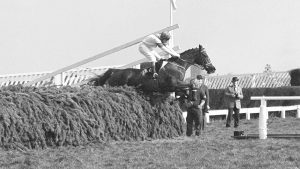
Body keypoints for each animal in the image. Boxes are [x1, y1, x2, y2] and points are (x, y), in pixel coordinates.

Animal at [88, 44, 217, 93]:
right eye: (205, 55)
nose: (213, 68)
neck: (176, 66)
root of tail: (114, 71)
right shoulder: (172, 85)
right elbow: (190, 85)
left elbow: (188, 87)